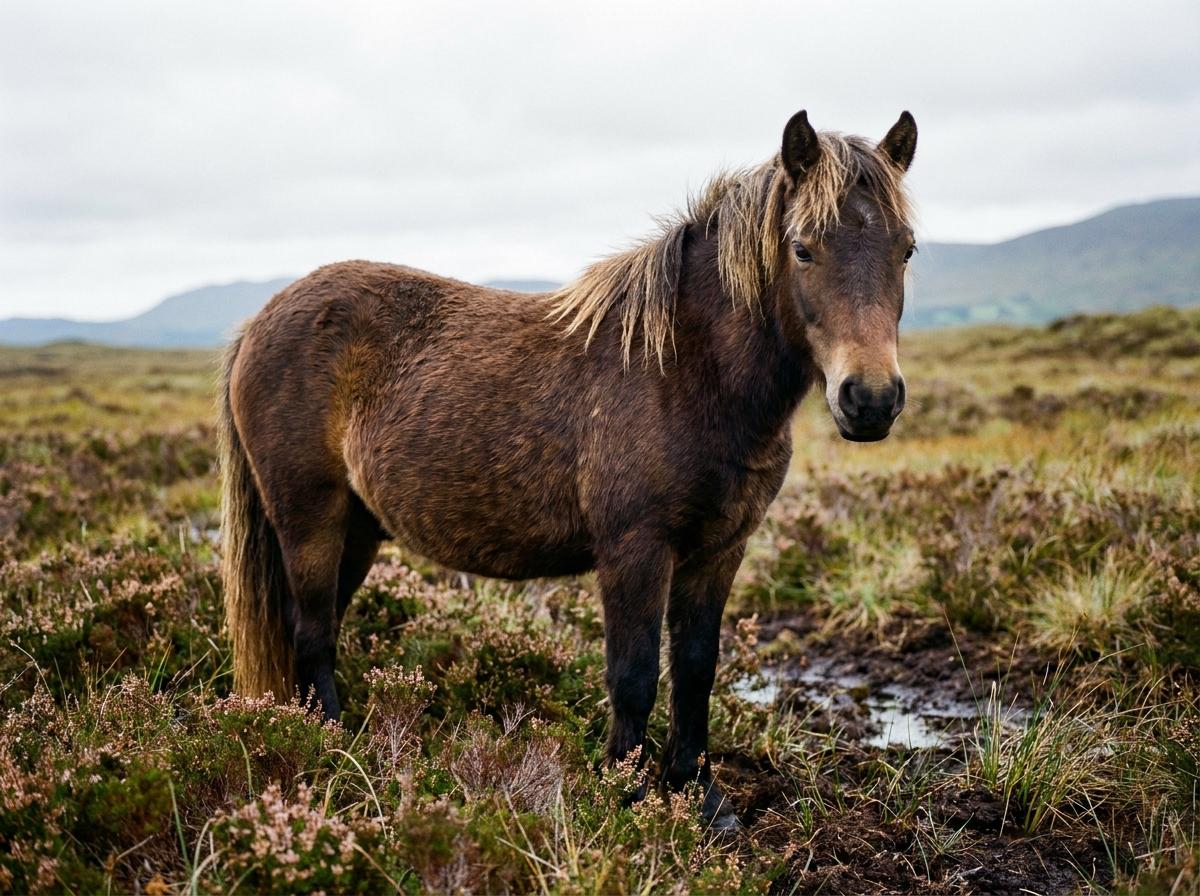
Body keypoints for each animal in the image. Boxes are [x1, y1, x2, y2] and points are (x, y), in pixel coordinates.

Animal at [219, 108, 917, 828]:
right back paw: (332, 743)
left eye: (906, 250)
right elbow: (633, 676)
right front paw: (624, 793)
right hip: (310, 521)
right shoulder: (635, 549)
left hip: (357, 529)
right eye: (803, 248)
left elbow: (696, 669)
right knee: (311, 632)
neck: (686, 369)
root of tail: (258, 323)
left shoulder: (719, 551)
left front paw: (699, 793)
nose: (870, 400)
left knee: (321, 627)